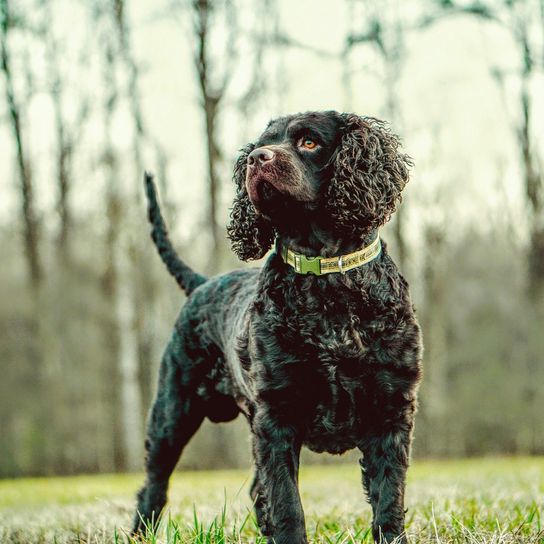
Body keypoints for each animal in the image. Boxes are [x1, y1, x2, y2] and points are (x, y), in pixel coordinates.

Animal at [134, 111, 422, 544]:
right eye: (260, 144)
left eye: (308, 142)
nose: (257, 159)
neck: (327, 285)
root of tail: (202, 283)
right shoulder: (277, 417)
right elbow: (287, 503)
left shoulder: (391, 412)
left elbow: (388, 503)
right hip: (172, 411)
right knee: (154, 486)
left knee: (256, 489)